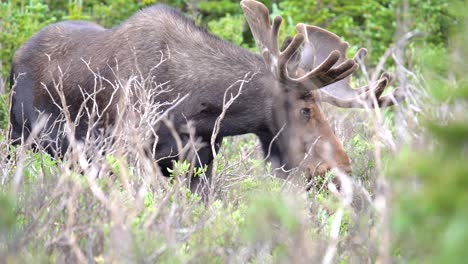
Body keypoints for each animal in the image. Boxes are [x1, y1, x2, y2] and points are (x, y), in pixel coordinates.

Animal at [7, 1, 402, 193]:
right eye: (305, 109)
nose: (340, 168)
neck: (199, 112)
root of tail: (16, 56)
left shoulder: (201, 161)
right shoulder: (128, 152)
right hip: (17, 139)